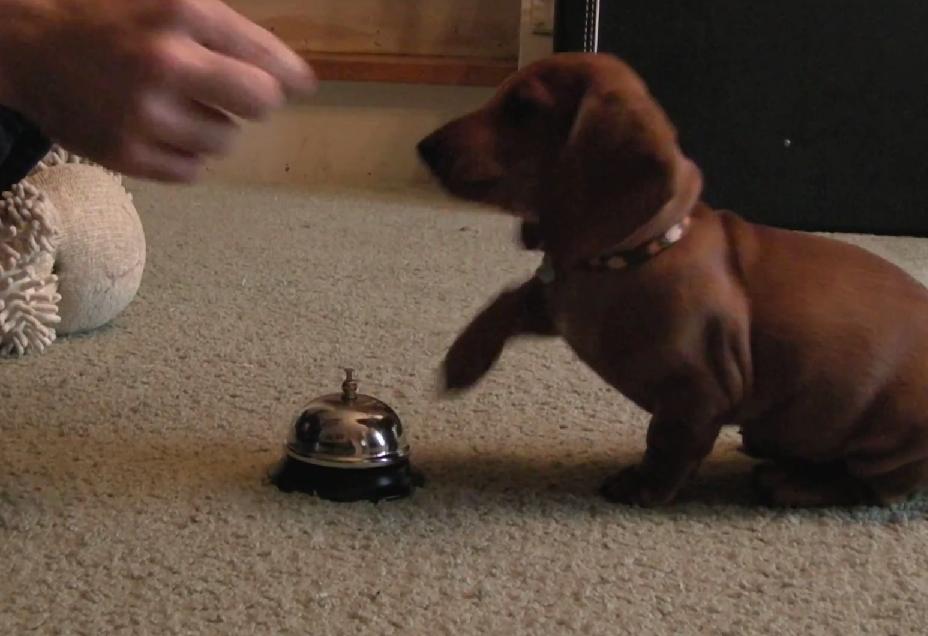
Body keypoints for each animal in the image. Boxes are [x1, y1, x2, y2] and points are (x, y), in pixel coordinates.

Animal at [416, 52, 928, 506]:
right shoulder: (558, 301)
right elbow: (511, 299)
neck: (638, 253)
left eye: (523, 108)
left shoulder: (698, 387)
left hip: (888, 440)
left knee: (874, 487)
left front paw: (645, 487)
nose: (425, 148)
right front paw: (465, 359)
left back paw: (794, 484)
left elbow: (669, 441)